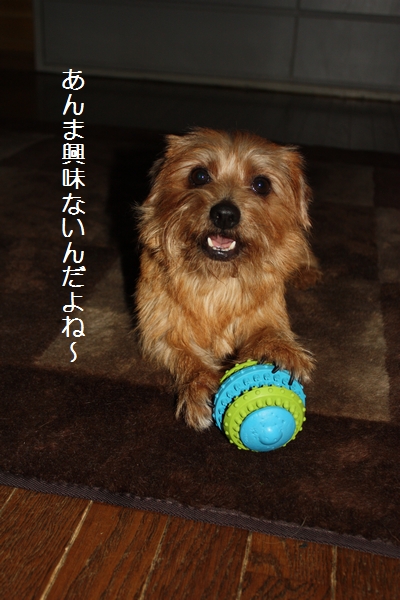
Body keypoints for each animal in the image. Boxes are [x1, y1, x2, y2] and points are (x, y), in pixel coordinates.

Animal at [136, 128, 320, 431]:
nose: (224, 214)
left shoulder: (268, 313)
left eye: (261, 184)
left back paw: (306, 272)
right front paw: (200, 385)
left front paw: (280, 350)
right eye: (199, 175)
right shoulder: (160, 329)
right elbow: (184, 353)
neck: (216, 278)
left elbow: (270, 331)